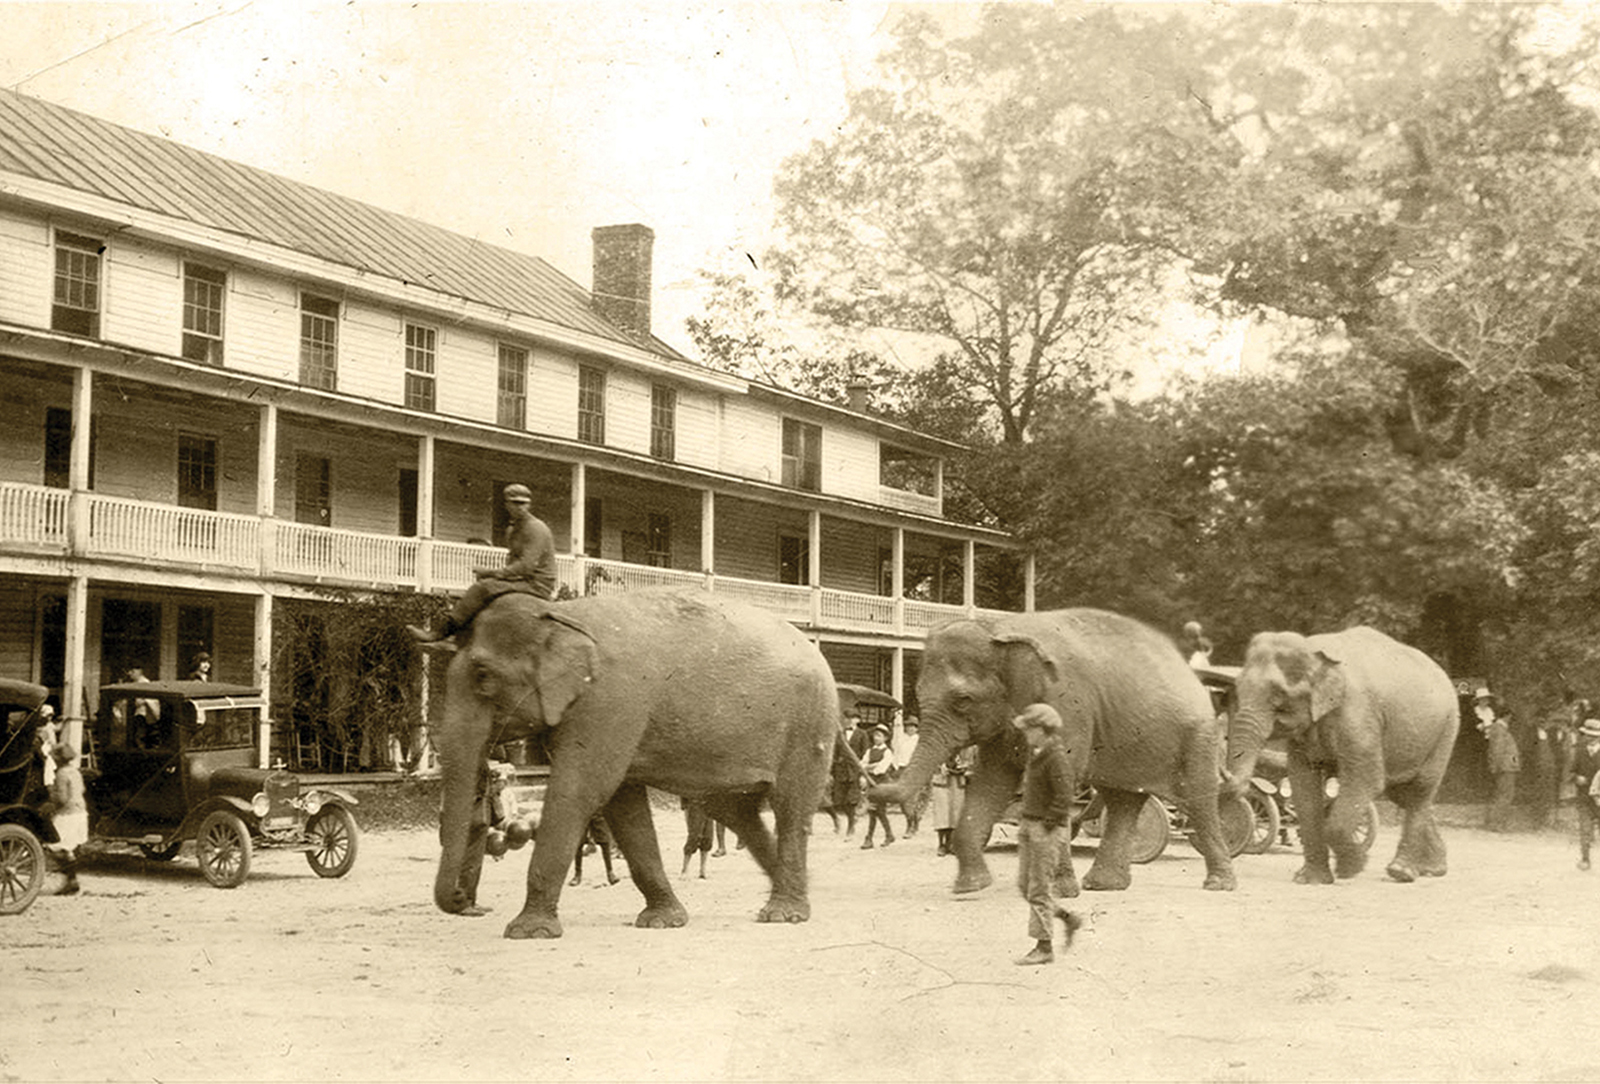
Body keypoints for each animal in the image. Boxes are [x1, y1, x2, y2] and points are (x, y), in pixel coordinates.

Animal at [432, 591, 844, 940]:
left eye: (483, 676)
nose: (461, 898)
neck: (563, 615)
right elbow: (622, 804)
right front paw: (662, 922)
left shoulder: (609, 701)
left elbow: (579, 791)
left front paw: (528, 931)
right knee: (732, 810)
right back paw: (801, 893)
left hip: (809, 724)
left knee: (790, 807)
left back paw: (785, 913)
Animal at [876, 610, 1235, 901]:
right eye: (918, 693)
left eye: (963, 700)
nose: (873, 788)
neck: (1000, 629)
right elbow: (991, 783)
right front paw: (970, 887)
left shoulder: (1066, 706)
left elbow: (1057, 781)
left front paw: (1058, 893)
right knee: (1123, 801)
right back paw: (1104, 885)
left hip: (1197, 736)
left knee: (1199, 801)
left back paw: (1219, 884)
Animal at [1222, 623, 1465, 888]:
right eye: (1238, 688)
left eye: (1279, 696)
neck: (1313, 650)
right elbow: (1303, 784)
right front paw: (1311, 880)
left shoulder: (1357, 714)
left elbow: (1365, 778)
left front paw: (1352, 867)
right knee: (1404, 794)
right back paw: (1433, 869)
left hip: (1446, 729)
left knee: (1420, 789)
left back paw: (1402, 872)